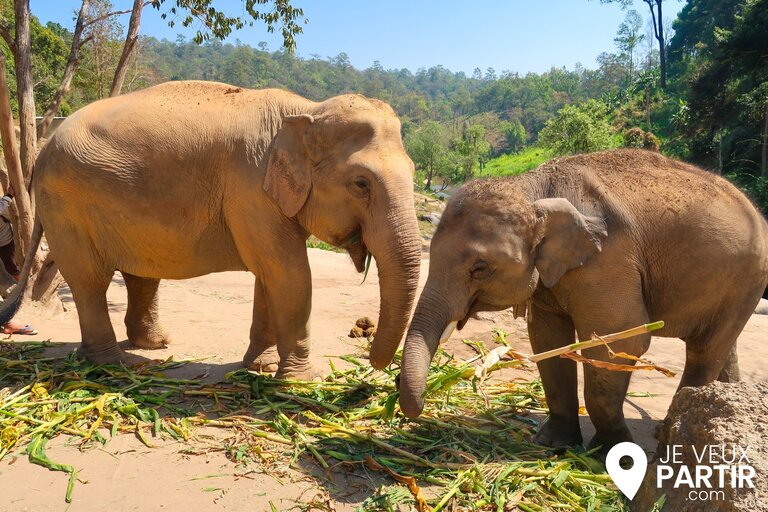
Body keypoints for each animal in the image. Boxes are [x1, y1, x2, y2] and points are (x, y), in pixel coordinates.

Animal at [1, 79, 420, 376]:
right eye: (361, 184)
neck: (306, 111)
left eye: (416, 172)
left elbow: (270, 276)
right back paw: (115, 363)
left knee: (140, 273)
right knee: (90, 280)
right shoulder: (249, 190)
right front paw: (303, 379)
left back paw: (155, 344)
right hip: (66, 206)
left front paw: (262, 367)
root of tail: (43, 148)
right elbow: (290, 275)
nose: (369, 360)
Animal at [400, 148, 768, 452]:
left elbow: (622, 338)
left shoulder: (607, 261)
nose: (419, 405)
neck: (534, 188)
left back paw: (671, 434)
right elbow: (547, 341)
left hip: (747, 277)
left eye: (480, 268)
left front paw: (611, 453)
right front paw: (553, 444)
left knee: (704, 350)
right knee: (722, 346)